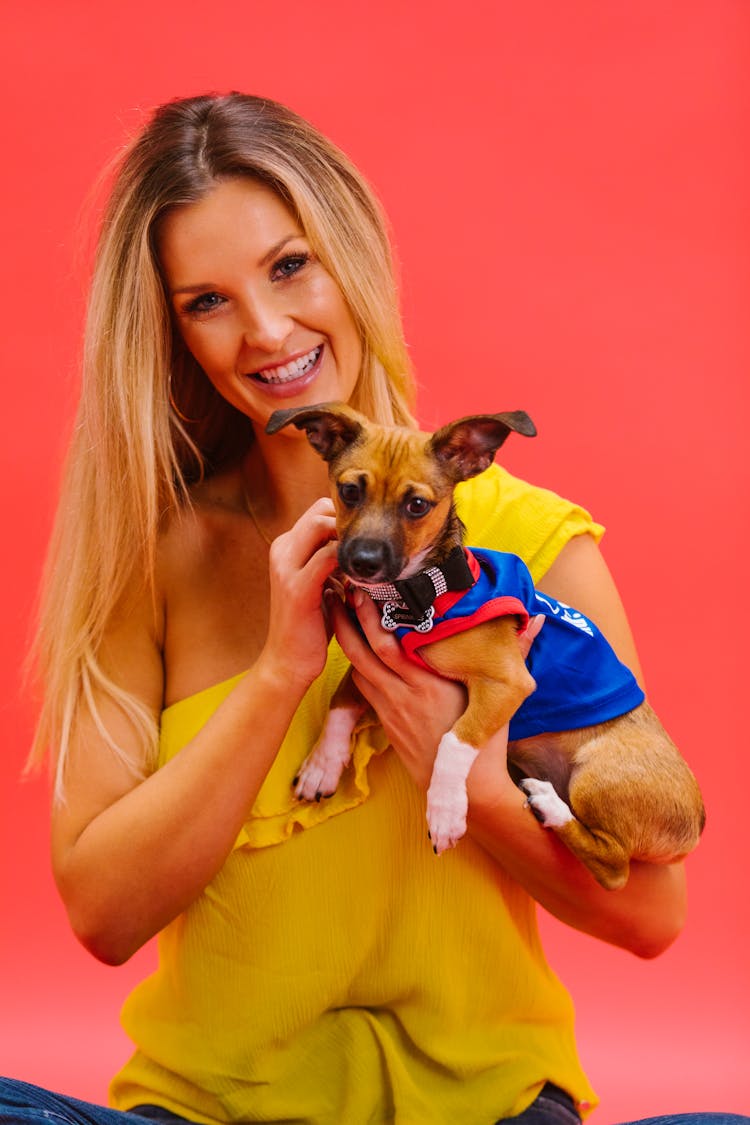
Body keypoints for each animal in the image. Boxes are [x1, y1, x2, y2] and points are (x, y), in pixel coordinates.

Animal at [266, 402, 706, 886]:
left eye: (417, 505)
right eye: (349, 491)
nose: (362, 561)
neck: (420, 592)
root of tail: (696, 826)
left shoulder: (507, 682)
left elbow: (455, 740)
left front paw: (444, 810)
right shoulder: (371, 662)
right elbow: (342, 701)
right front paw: (322, 764)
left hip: (597, 776)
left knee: (614, 869)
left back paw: (550, 806)